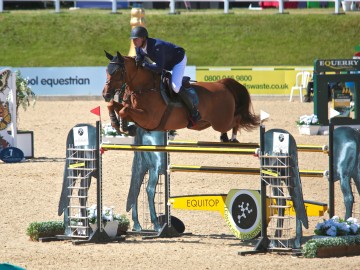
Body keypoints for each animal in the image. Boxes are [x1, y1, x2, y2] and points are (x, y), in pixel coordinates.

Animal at [101, 51, 258, 142]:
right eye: (106, 71)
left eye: (116, 72)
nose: (105, 94)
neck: (145, 88)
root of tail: (222, 84)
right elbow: (115, 106)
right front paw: (117, 123)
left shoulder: (149, 119)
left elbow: (124, 110)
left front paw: (126, 128)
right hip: (209, 122)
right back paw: (224, 137)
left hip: (222, 121)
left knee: (237, 119)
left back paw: (233, 138)